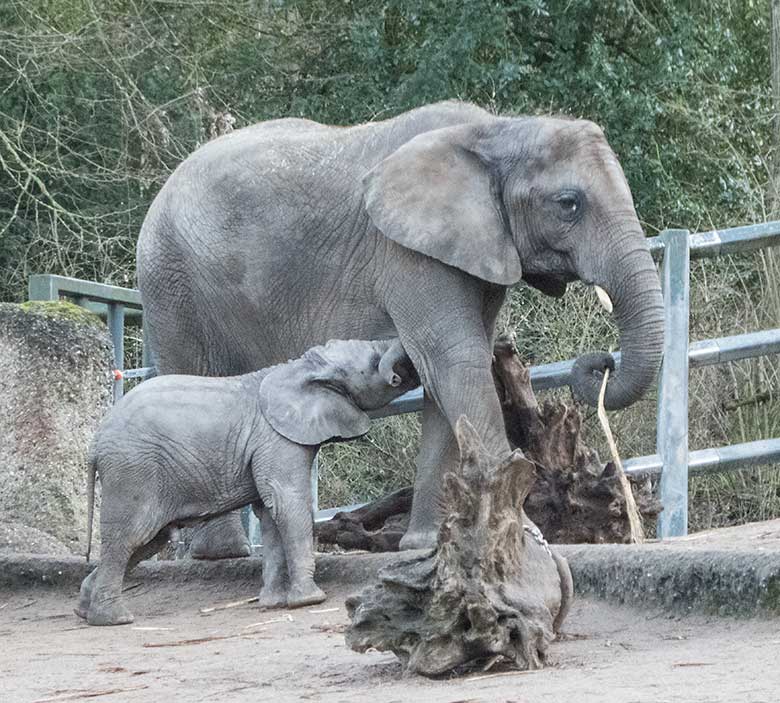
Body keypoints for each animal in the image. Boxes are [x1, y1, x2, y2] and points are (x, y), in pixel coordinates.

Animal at [77, 340, 420, 628]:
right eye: (373, 357)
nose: (402, 366)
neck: (299, 367)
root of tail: (95, 442)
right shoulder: (277, 439)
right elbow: (287, 503)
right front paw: (310, 600)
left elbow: (269, 515)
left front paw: (272, 604)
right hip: (133, 472)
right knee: (130, 538)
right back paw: (115, 619)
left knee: (149, 541)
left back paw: (84, 609)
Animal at [139, 102, 664, 560]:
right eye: (568, 204)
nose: (600, 363)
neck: (499, 129)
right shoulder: (406, 252)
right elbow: (454, 359)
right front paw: (526, 534)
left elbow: (448, 373)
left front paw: (426, 544)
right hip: (171, 282)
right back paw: (224, 553)